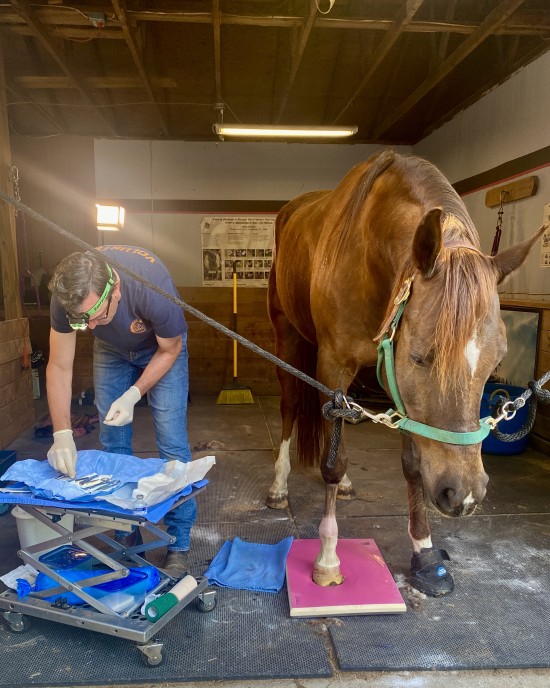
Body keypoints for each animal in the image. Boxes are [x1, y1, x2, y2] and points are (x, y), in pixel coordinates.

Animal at [266, 150, 544, 596]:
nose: (463, 496)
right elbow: (332, 463)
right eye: (419, 357)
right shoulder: (333, 365)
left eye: (496, 359)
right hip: (287, 339)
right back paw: (278, 486)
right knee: (291, 408)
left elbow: (413, 463)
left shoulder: (395, 382)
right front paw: (328, 559)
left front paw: (424, 551)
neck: (368, 253)